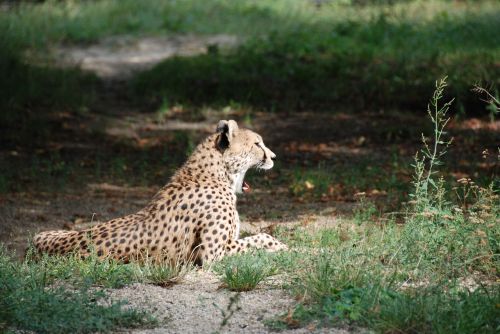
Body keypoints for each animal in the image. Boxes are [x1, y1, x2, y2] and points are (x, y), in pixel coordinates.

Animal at [31, 120, 288, 264]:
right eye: (257, 144)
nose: (274, 157)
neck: (216, 174)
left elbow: (259, 237)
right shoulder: (212, 255)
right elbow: (261, 238)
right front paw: (283, 248)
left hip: (45, 233)